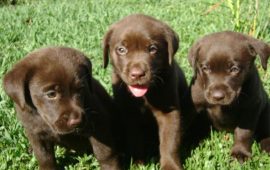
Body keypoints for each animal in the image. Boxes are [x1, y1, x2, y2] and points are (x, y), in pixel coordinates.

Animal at [102, 13, 188, 169]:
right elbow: (135, 138)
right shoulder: (129, 113)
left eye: (152, 49)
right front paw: (138, 162)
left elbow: (169, 142)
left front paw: (170, 165)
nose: (137, 74)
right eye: (121, 50)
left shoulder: (169, 111)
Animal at [188, 31, 270, 163]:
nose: (218, 96)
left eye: (234, 69)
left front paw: (240, 153)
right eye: (205, 68)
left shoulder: (251, 108)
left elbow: (244, 132)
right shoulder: (193, 104)